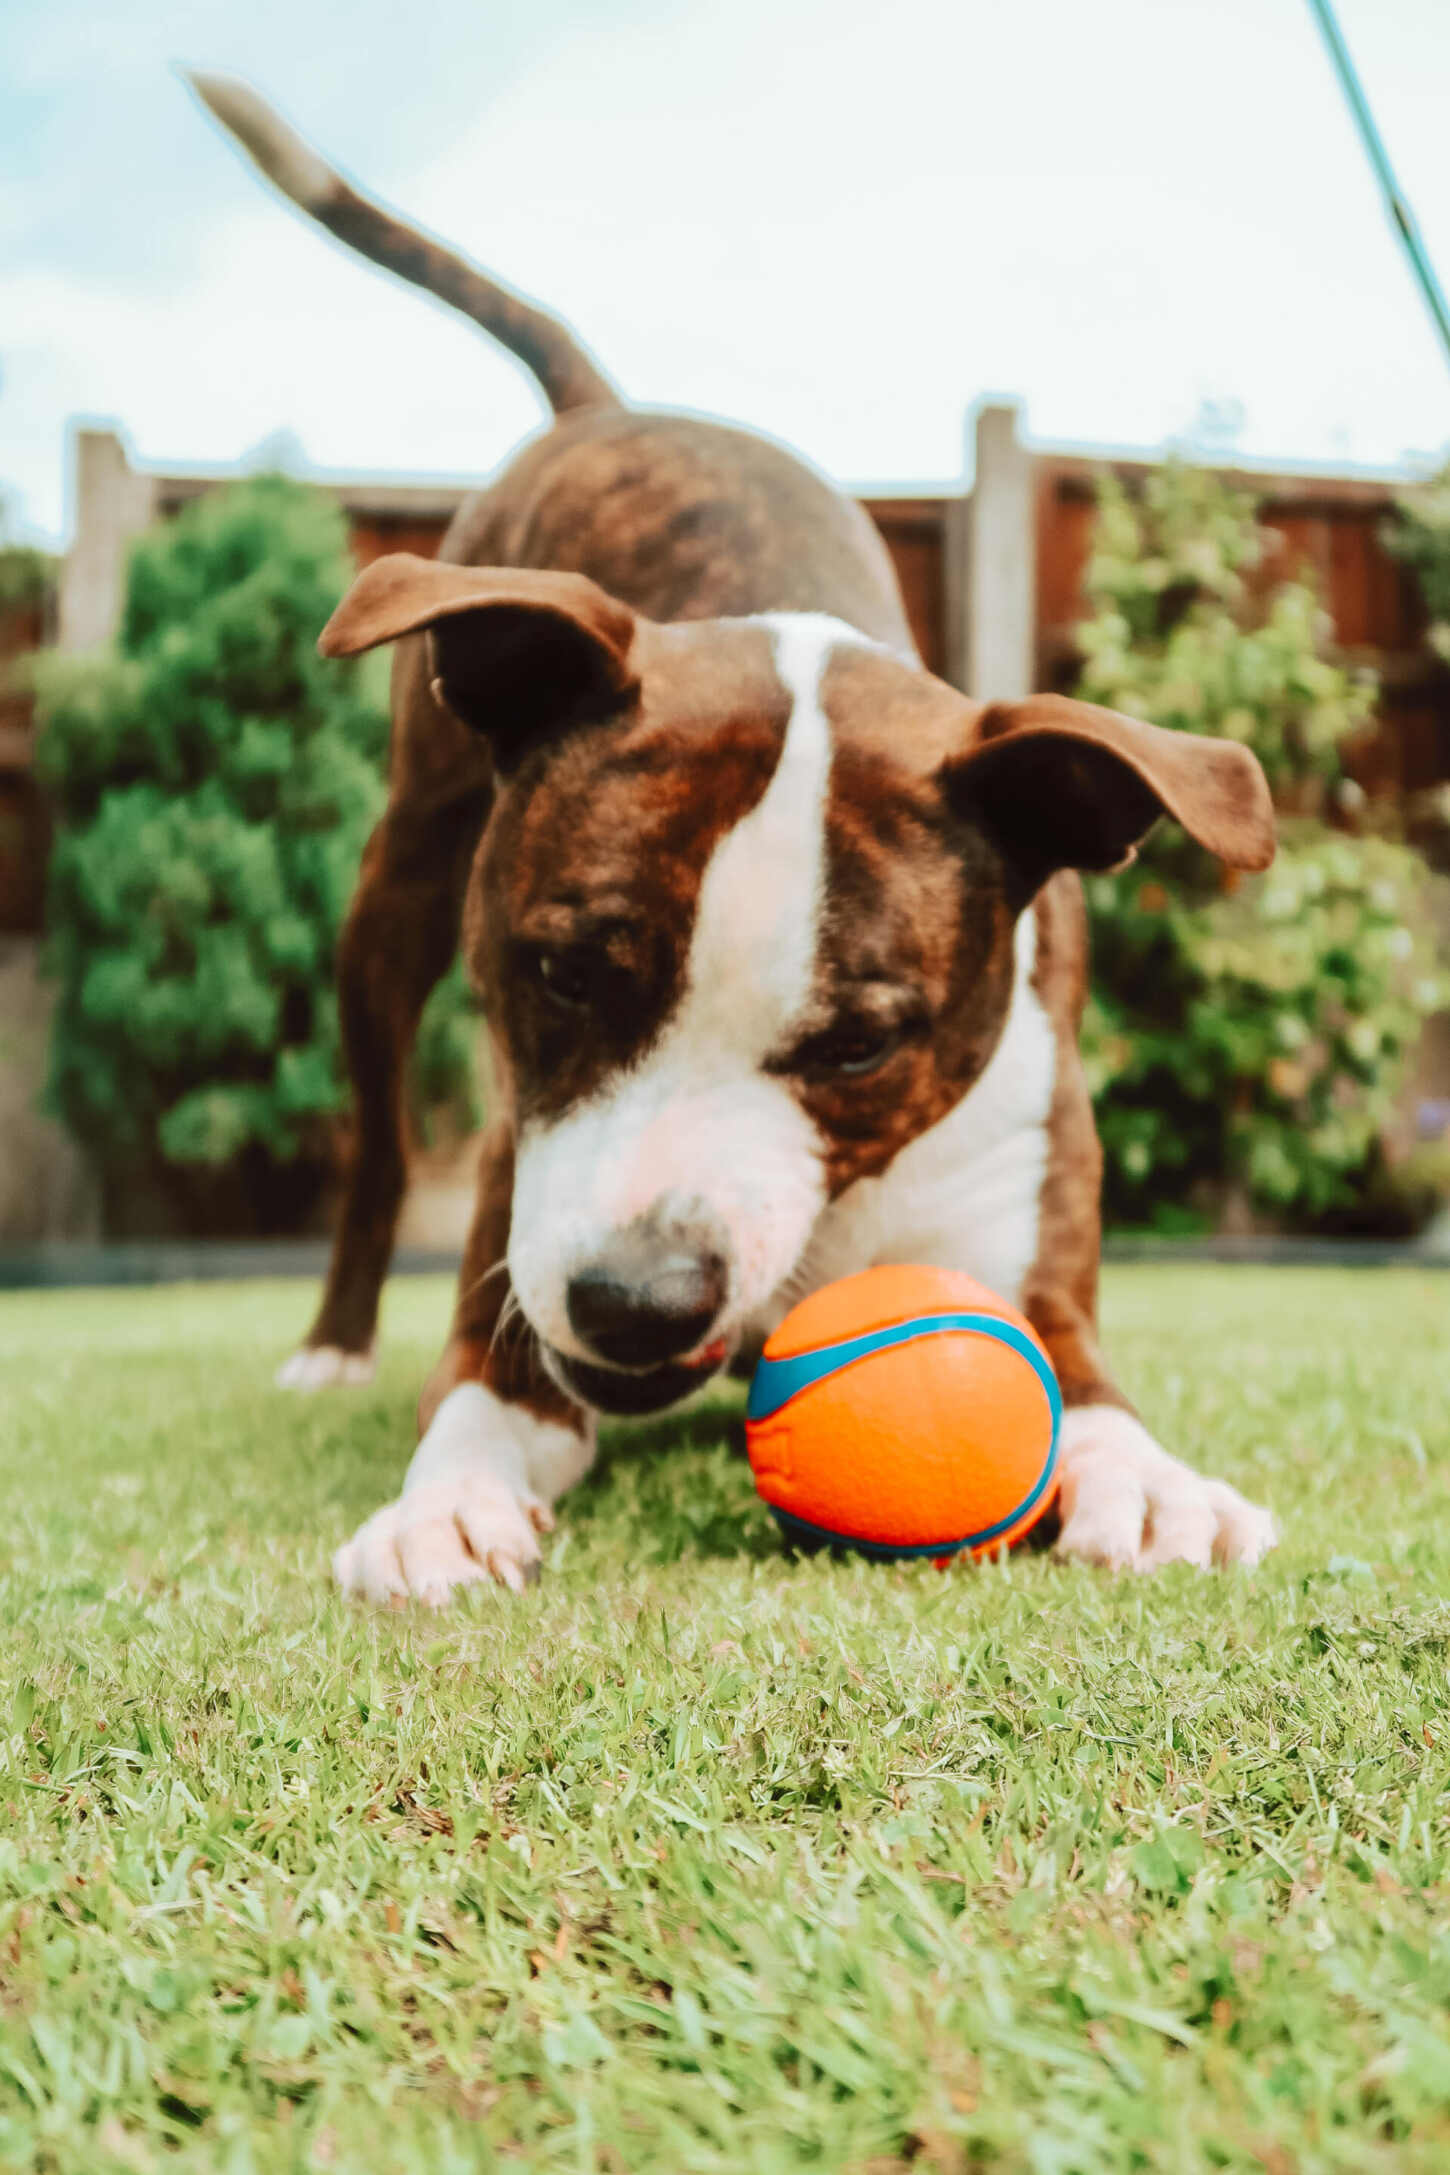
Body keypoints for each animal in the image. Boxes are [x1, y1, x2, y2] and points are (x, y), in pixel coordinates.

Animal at [192, 72, 1278, 1600]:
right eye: (565, 973)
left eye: (861, 1044)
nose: (635, 1300)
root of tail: (621, 408)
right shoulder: (515, 1261)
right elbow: (471, 1399)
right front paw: (442, 1506)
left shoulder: (1033, 1270)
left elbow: (1096, 1398)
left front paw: (1158, 1483)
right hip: (394, 891)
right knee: (380, 1147)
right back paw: (334, 1347)